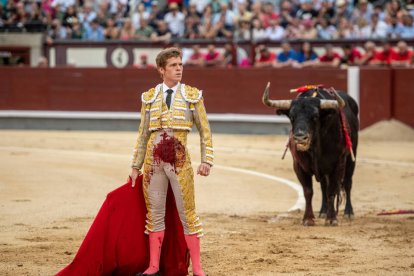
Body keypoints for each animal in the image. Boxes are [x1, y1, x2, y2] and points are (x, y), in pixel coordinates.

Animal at [264, 83, 358, 225]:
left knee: (347, 183)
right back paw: (323, 211)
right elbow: (308, 191)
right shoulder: (299, 166)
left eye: (315, 117)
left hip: (352, 157)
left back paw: (348, 212)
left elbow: (332, 190)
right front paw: (308, 219)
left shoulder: (338, 163)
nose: (300, 137)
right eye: (292, 117)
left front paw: (332, 219)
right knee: (324, 186)